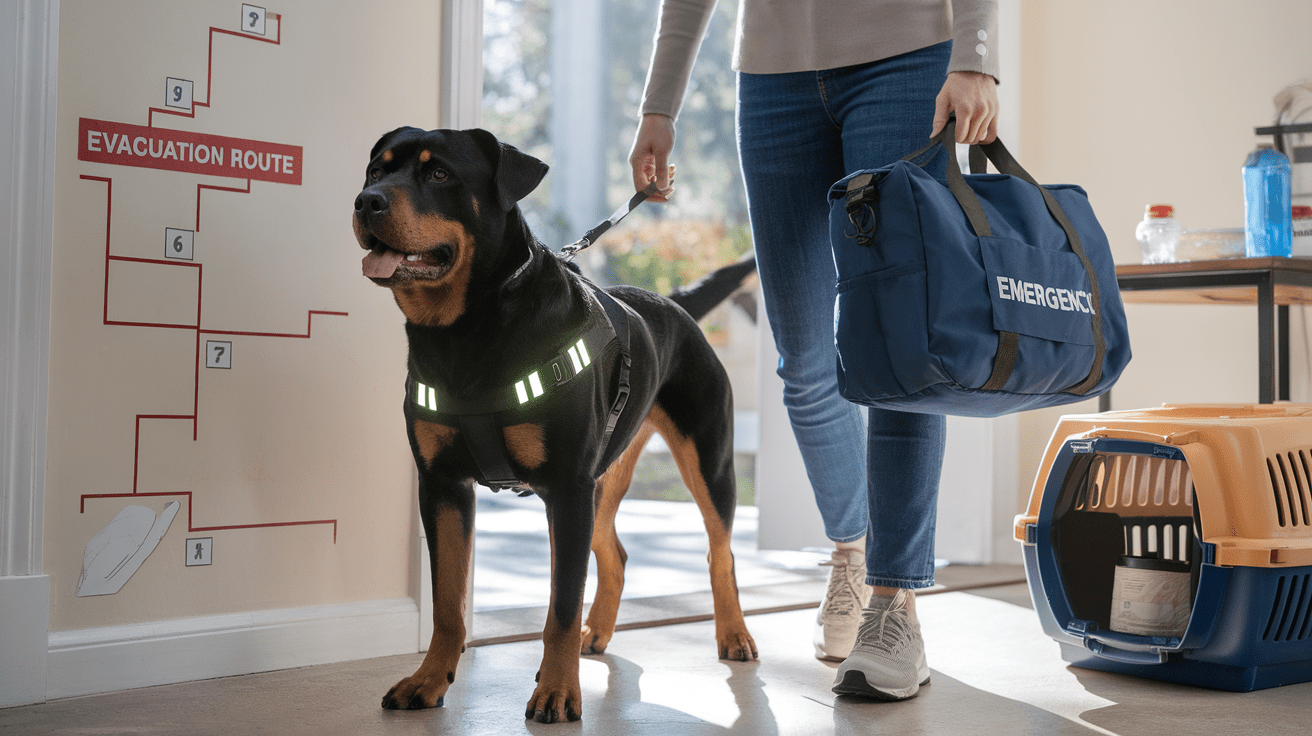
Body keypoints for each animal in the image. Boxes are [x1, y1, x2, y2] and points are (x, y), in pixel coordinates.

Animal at [351, 127, 760, 724]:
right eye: (376, 171)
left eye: (439, 174)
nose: (367, 202)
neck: (468, 328)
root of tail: (674, 302)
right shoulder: (443, 485)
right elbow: (447, 602)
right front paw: (428, 681)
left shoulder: (566, 487)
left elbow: (561, 607)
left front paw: (558, 693)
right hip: (605, 476)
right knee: (615, 553)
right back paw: (599, 632)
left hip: (707, 457)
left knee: (720, 552)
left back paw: (734, 634)